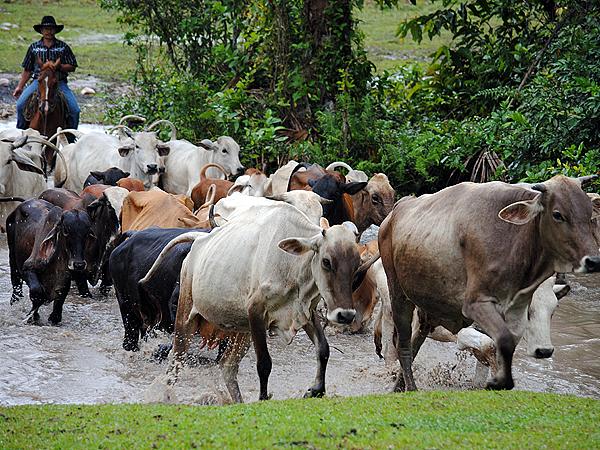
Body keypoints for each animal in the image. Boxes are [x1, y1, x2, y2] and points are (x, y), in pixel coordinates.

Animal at [142, 202, 360, 402]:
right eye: (326, 261)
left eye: (356, 264)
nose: (345, 315)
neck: (291, 265)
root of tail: (200, 239)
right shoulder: (256, 311)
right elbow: (264, 363)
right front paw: (263, 398)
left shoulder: (305, 312)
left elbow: (323, 350)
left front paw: (316, 390)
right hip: (185, 317)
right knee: (176, 362)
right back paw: (166, 397)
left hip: (242, 330)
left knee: (227, 367)